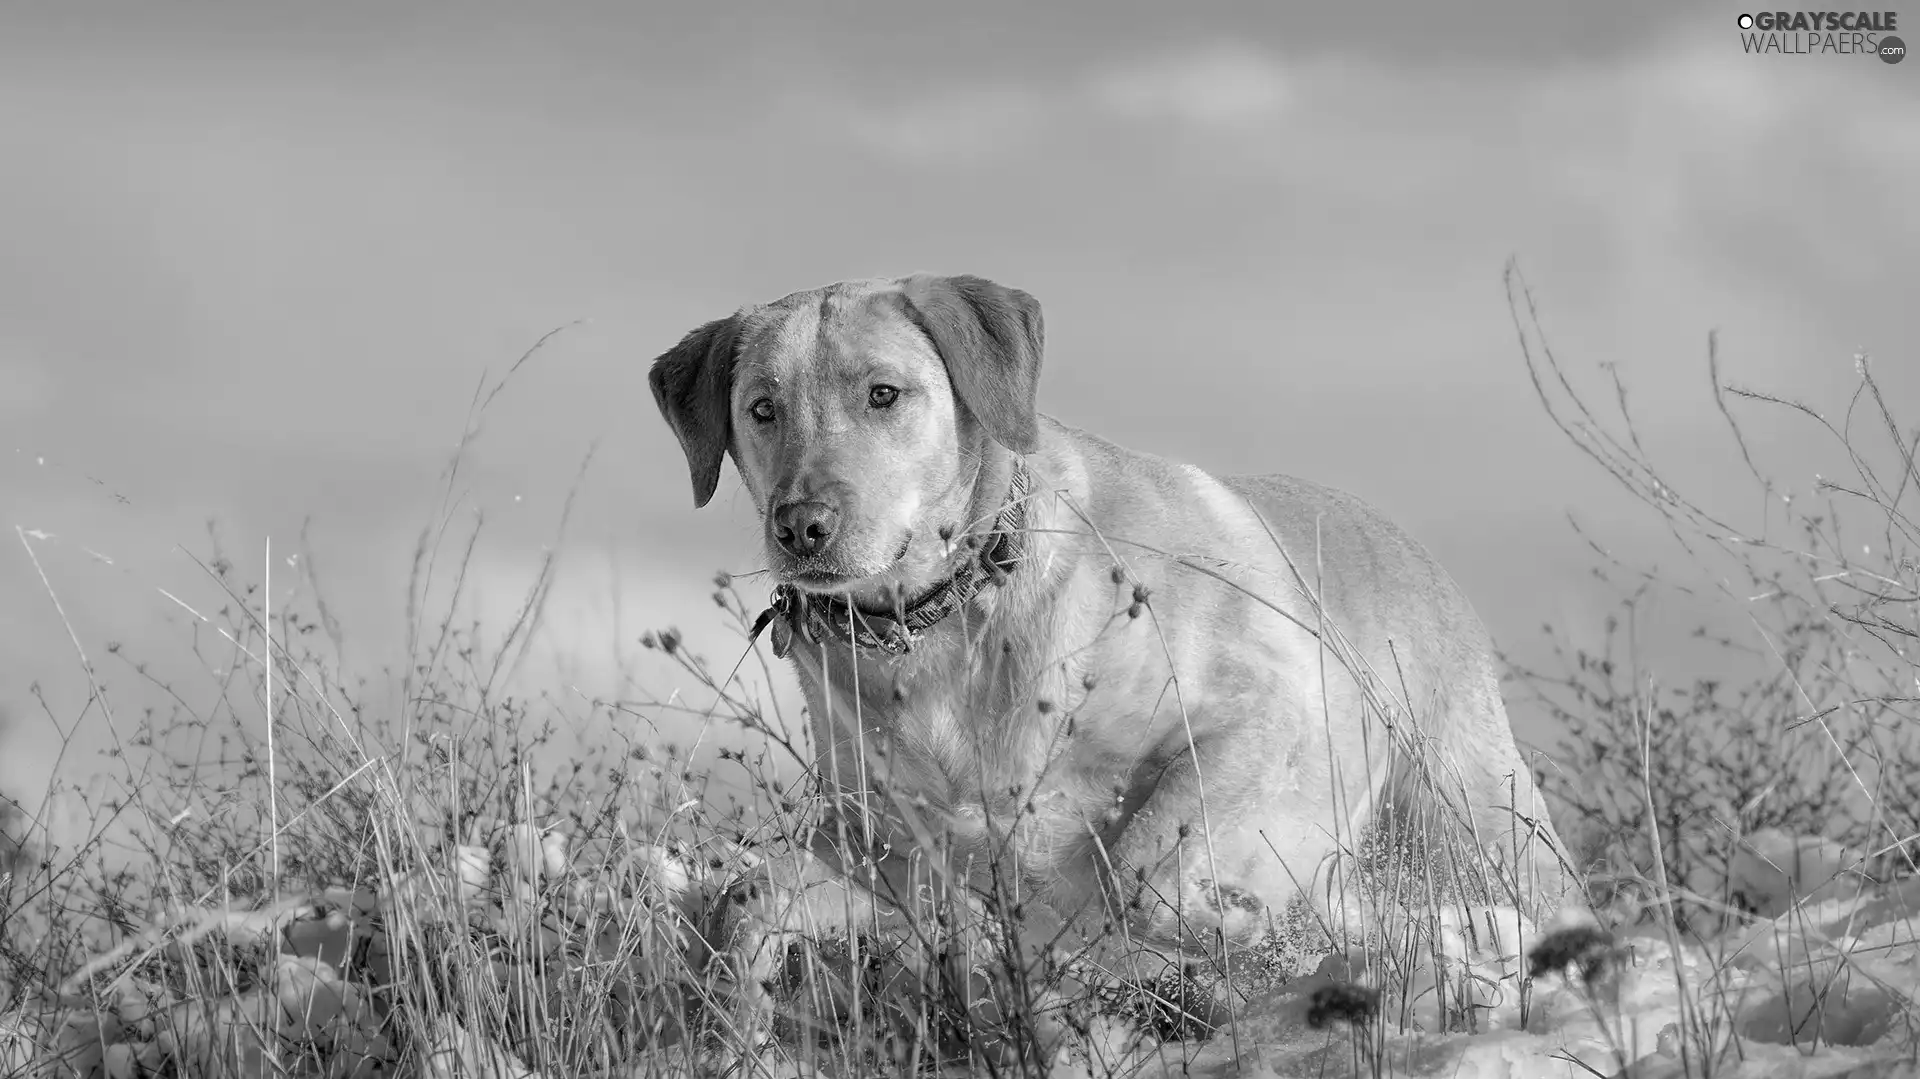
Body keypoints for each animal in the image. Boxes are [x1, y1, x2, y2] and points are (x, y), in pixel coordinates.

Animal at [652, 272, 1582, 1036]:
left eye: (884, 394)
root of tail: (1414, 549)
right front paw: (736, 1027)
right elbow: (745, 899)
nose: (802, 527)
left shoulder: (1267, 714)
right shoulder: (892, 852)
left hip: (1475, 820)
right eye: (762, 408)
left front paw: (1251, 922)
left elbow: (1142, 871)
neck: (945, 622)